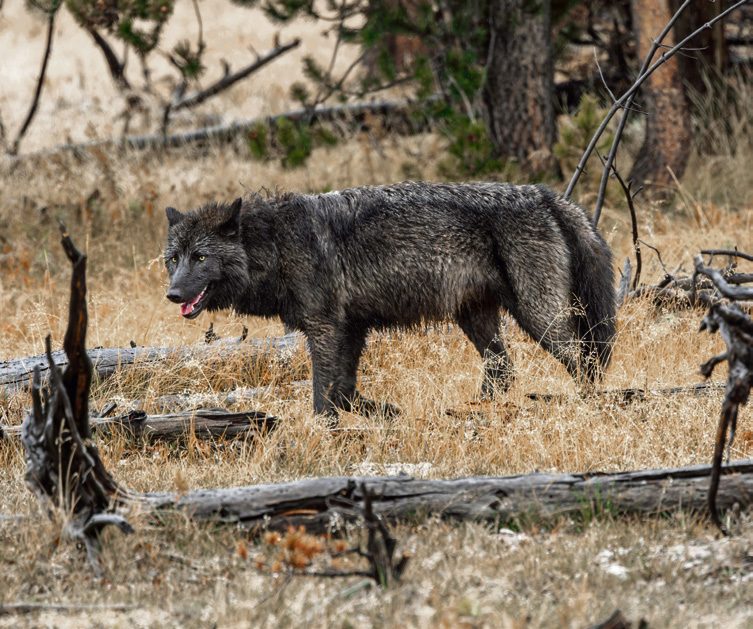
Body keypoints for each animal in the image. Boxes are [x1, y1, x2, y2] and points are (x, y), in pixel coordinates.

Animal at [164, 181, 615, 420]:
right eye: (173, 259)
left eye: (200, 258)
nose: (173, 294)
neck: (274, 244)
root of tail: (544, 194)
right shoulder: (350, 329)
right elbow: (345, 390)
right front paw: (382, 412)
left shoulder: (325, 328)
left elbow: (322, 395)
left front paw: (325, 433)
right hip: (476, 318)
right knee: (503, 369)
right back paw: (474, 411)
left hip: (539, 317)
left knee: (584, 362)